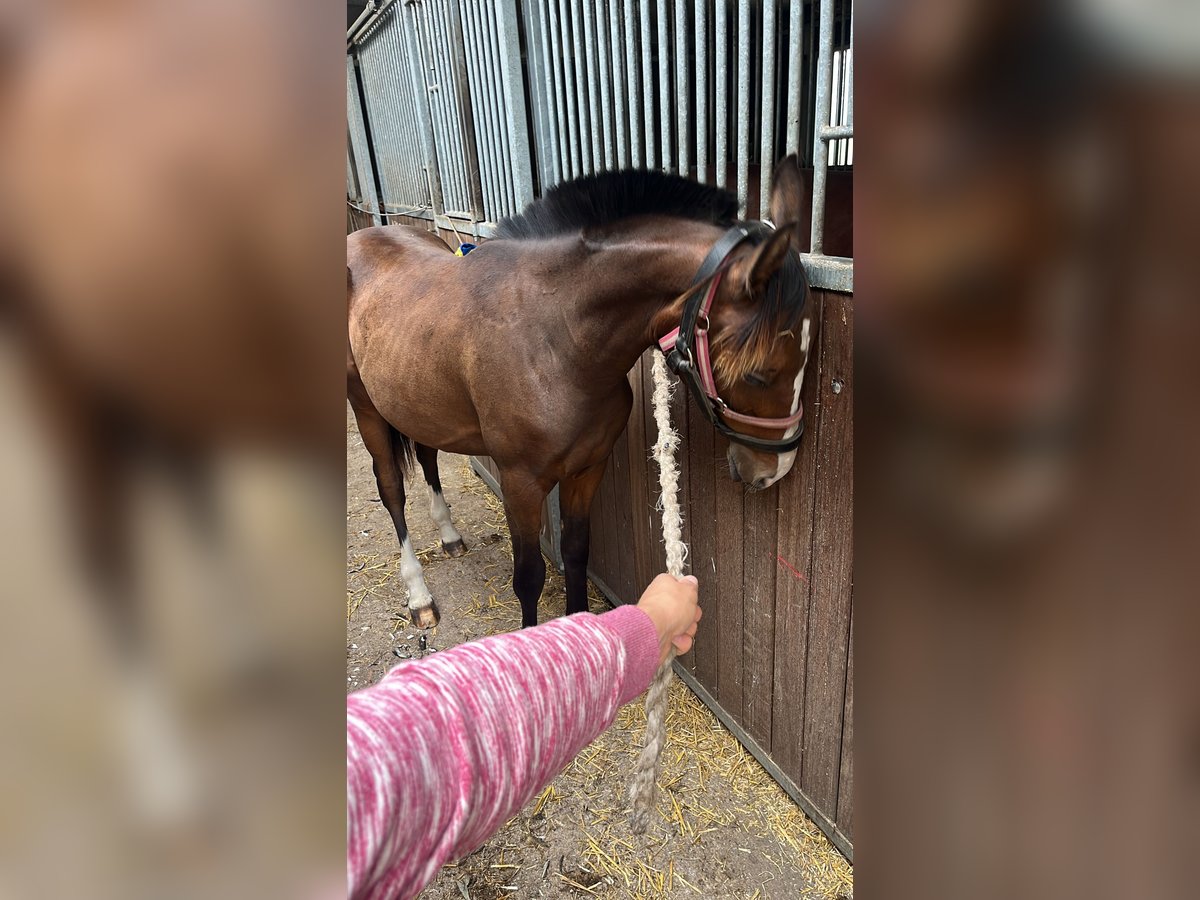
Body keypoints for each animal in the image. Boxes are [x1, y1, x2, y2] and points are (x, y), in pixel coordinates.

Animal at [348, 158, 816, 628]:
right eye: (759, 374)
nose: (776, 469)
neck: (555, 337)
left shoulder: (588, 468)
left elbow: (575, 552)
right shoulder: (520, 484)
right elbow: (530, 577)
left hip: (415, 405)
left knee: (427, 458)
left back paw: (448, 537)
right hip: (365, 407)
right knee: (391, 491)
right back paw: (419, 597)